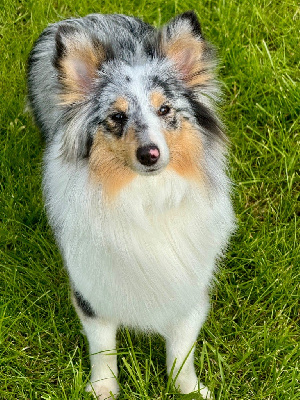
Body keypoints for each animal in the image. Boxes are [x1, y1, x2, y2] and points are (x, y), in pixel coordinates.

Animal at [27, 10, 234, 398]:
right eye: (118, 117)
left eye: (165, 109)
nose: (149, 154)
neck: (147, 197)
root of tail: (89, 15)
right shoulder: (92, 288)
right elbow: (103, 347)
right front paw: (104, 389)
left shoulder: (189, 288)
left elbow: (181, 348)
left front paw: (187, 389)